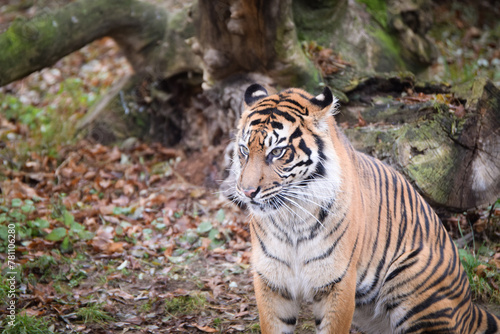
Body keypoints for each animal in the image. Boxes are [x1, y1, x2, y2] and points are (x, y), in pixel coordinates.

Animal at [229, 82, 500, 332]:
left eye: (277, 152)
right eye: (243, 150)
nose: (247, 192)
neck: (291, 219)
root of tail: (470, 308)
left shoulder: (337, 282)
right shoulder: (271, 282)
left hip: (412, 283)